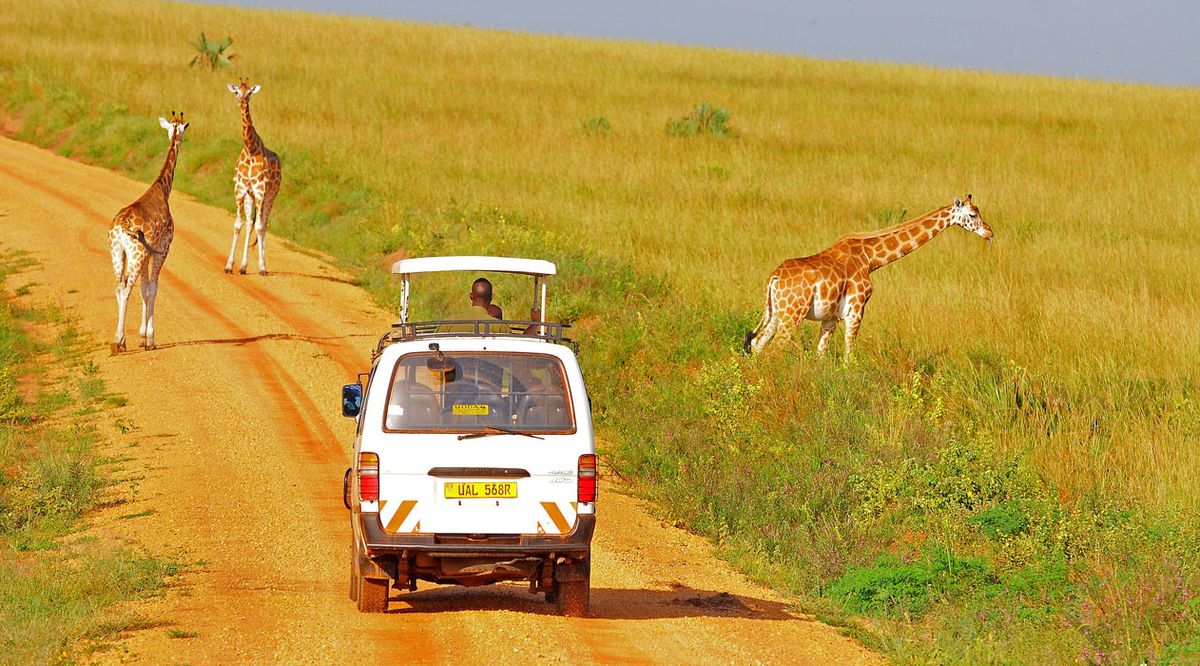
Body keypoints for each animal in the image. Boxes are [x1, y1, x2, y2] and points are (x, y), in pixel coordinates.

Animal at [108, 112, 189, 354]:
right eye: (182, 128)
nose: (181, 138)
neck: (162, 188)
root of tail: (121, 227)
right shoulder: (162, 248)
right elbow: (152, 288)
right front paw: (150, 339)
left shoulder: (147, 254)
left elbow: (144, 289)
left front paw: (142, 337)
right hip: (136, 254)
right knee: (126, 288)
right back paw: (117, 341)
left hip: (118, 253)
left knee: (118, 286)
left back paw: (121, 340)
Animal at [224, 78, 281, 275]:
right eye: (236, 91)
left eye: (249, 92)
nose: (241, 101)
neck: (250, 149)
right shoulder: (240, 189)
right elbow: (238, 225)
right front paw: (229, 265)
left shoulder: (260, 190)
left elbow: (259, 226)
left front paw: (262, 267)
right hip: (250, 195)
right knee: (250, 223)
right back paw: (243, 266)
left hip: (270, 196)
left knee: (262, 224)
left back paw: (261, 266)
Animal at [745, 195, 993, 357]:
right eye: (972, 214)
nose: (990, 232)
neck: (869, 259)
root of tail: (774, 278)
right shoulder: (856, 310)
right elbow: (848, 355)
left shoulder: (830, 317)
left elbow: (821, 354)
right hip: (792, 315)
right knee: (775, 348)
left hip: (776, 314)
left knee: (757, 344)